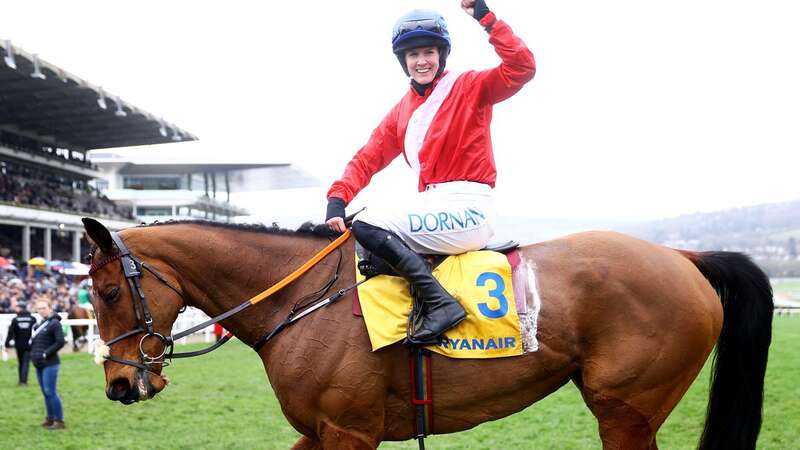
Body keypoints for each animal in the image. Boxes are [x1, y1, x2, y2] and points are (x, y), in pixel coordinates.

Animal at [83, 219, 776, 450]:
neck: (301, 300)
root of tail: (683, 257)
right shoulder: (322, 432)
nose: (117, 384)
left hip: (625, 412)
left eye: (108, 292)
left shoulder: (350, 432)